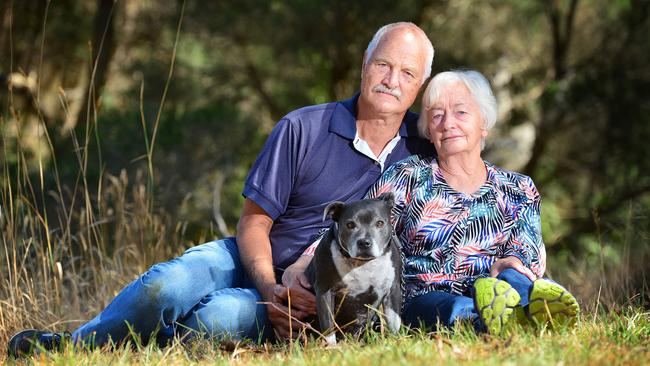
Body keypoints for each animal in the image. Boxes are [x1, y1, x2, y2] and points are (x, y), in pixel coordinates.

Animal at [304, 193, 400, 344]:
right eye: (350, 224)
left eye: (380, 223)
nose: (364, 242)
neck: (363, 263)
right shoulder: (324, 291)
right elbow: (328, 327)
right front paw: (331, 348)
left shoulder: (393, 290)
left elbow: (394, 322)